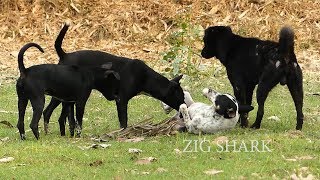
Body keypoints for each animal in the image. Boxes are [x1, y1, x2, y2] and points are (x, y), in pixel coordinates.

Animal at [41, 22, 184, 133]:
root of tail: (64, 54)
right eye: (181, 97)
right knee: (47, 112)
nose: (184, 109)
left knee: (54, 114)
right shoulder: (121, 100)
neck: (145, 77)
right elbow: (123, 122)